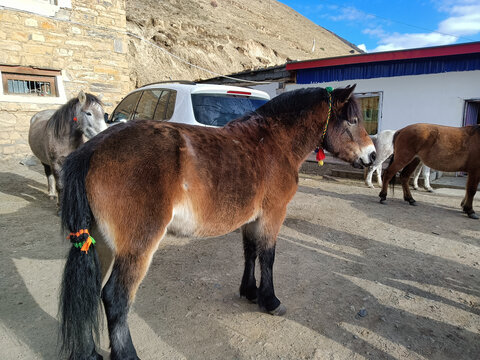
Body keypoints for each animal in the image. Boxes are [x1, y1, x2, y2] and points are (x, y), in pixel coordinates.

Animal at [59, 85, 376, 360]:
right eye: (353, 120)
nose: (372, 155)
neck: (273, 142)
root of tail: (93, 149)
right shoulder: (272, 215)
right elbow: (268, 257)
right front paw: (270, 300)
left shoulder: (252, 219)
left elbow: (251, 253)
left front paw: (250, 292)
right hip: (138, 246)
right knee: (115, 297)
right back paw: (127, 354)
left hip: (101, 243)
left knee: (89, 292)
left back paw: (89, 352)